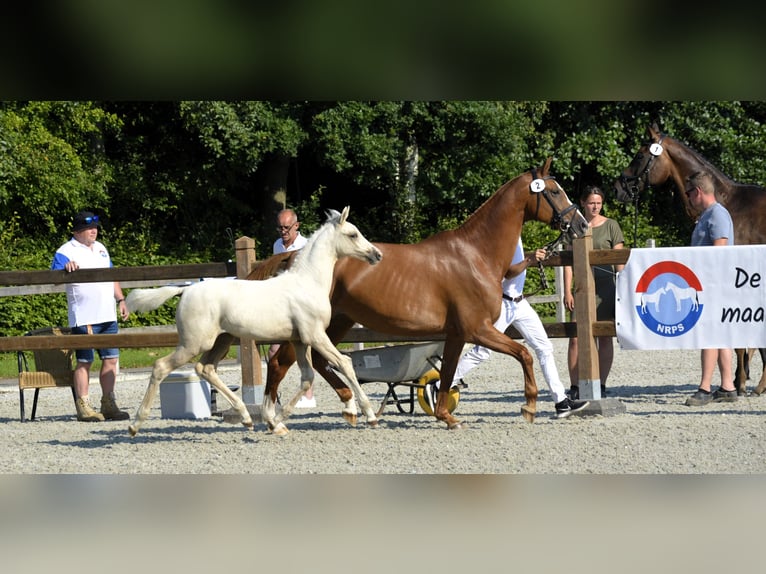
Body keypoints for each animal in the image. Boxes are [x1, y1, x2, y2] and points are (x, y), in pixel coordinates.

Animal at [246, 159, 588, 432]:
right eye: (554, 192)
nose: (581, 224)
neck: (475, 255)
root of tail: (296, 256)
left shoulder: (457, 333)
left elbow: (448, 372)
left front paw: (445, 415)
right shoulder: (477, 329)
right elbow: (523, 354)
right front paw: (528, 406)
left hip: (338, 322)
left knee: (317, 361)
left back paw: (349, 407)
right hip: (312, 327)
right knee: (280, 363)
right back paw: (275, 419)